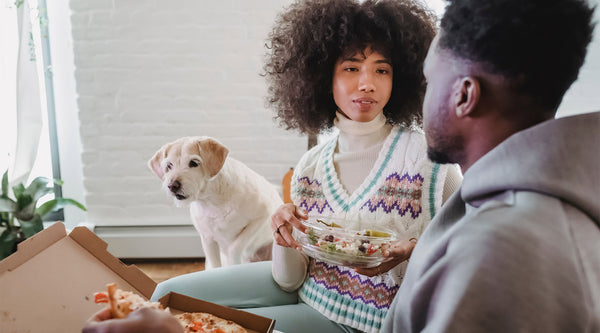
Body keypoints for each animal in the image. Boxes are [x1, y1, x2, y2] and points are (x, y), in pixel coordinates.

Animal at [149, 136, 282, 268]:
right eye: (169, 165)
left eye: (194, 163)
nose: (172, 186)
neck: (212, 201)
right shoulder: (208, 240)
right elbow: (215, 264)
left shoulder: (262, 216)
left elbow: (234, 247)